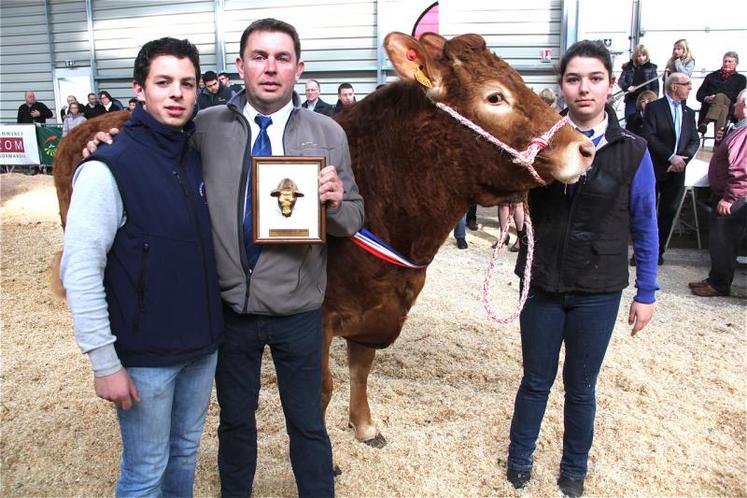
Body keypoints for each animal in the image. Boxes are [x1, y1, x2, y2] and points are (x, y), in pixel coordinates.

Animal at [52, 33, 592, 450]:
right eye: (496, 97)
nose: (584, 147)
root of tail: (91, 123)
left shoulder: (379, 307)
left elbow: (361, 369)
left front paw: (365, 426)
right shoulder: (320, 315)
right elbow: (322, 387)